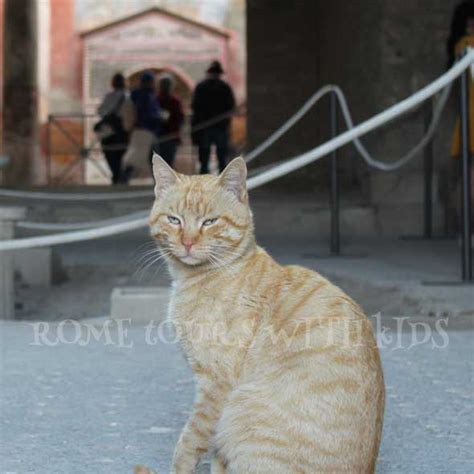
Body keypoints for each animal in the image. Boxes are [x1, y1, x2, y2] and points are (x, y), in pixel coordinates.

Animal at [139, 154, 384, 472]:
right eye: (174, 220)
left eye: (210, 221)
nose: (188, 242)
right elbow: (218, 453)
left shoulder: (216, 385)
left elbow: (190, 442)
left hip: (241, 405)